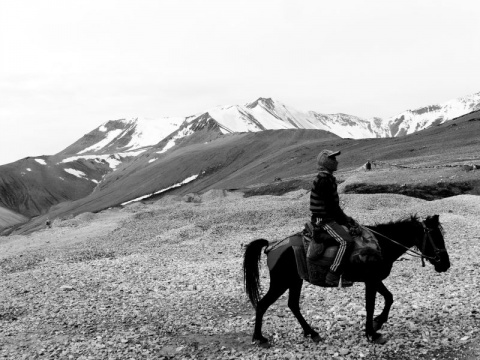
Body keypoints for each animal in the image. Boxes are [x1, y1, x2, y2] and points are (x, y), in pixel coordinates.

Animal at [244, 214, 450, 346]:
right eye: (436, 236)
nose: (445, 264)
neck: (381, 245)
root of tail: (270, 247)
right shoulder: (371, 280)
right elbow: (371, 305)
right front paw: (372, 333)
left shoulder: (374, 280)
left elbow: (389, 297)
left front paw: (378, 322)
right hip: (281, 282)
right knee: (262, 304)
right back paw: (259, 338)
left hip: (295, 281)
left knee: (293, 305)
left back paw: (312, 333)